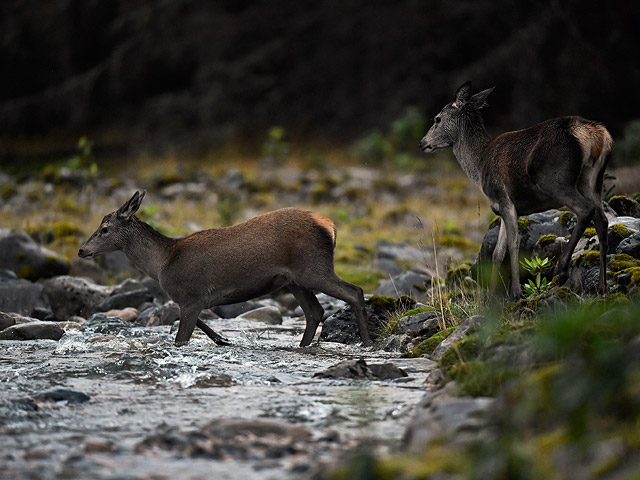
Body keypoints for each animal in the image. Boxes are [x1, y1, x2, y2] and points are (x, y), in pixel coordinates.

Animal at [78, 192, 372, 348]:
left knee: (354, 292)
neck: (162, 263)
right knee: (314, 311)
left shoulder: (192, 294)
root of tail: (330, 226)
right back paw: (302, 346)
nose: (81, 250)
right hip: (293, 280)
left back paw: (367, 342)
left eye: (105, 229)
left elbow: (181, 338)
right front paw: (222, 339)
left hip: (313, 268)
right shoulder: (189, 299)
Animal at [418, 82, 612, 300]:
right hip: (593, 180)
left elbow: (513, 245)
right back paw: (602, 286)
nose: (422, 142)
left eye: (437, 118)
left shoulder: (505, 199)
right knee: (602, 220)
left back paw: (561, 268)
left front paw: (516, 292)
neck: (479, 166)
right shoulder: (504, 209)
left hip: (555, 179)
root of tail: (594, 133)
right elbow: (497, 252)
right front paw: (490, 297)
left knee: (585, 210)